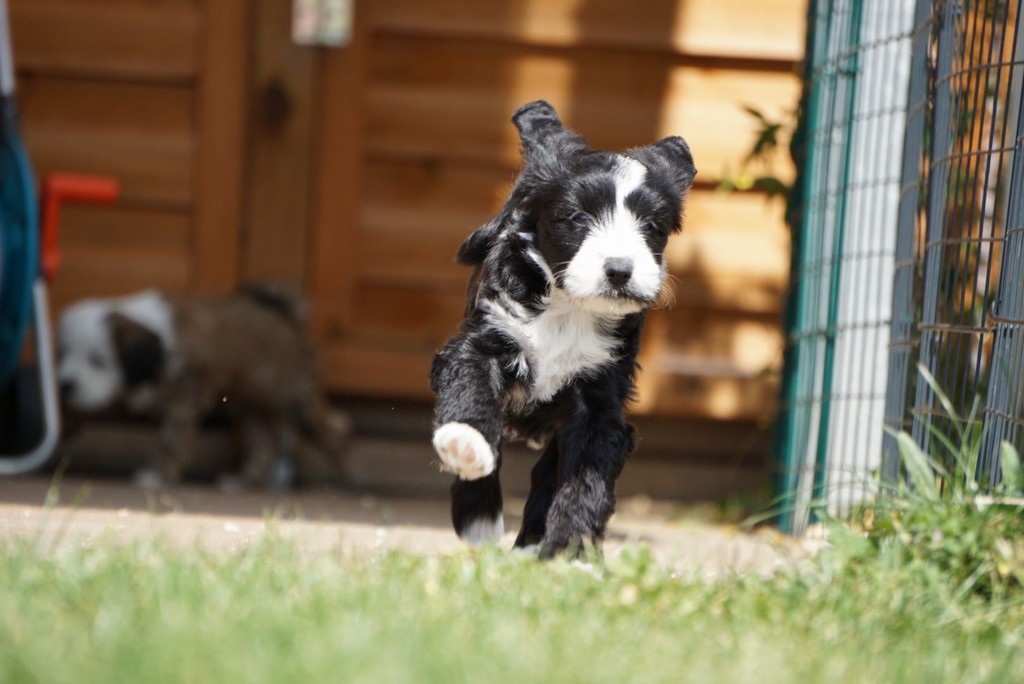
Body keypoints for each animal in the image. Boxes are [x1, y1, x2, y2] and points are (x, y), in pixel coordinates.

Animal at [56, 282, 349, 490]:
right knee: (263, 444)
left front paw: (158, 475)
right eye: (64, 353)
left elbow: (171, 441)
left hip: (294, 397)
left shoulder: (186, 401)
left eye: (98, 360)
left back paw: (339, 481)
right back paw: (244, 481)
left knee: (333, 430)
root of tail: (288, 318)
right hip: (252, 406)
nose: (66, 385)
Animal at [430, 101, 696, 557]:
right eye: (576, 218)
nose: (619, 270)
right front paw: (466, 444)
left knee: (545, 475)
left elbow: (584, 481)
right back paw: (479, 520)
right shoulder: (483, 342)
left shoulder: (599, 399)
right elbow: (471, 394)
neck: (569, 307)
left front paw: (572, 552)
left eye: (652, 227)